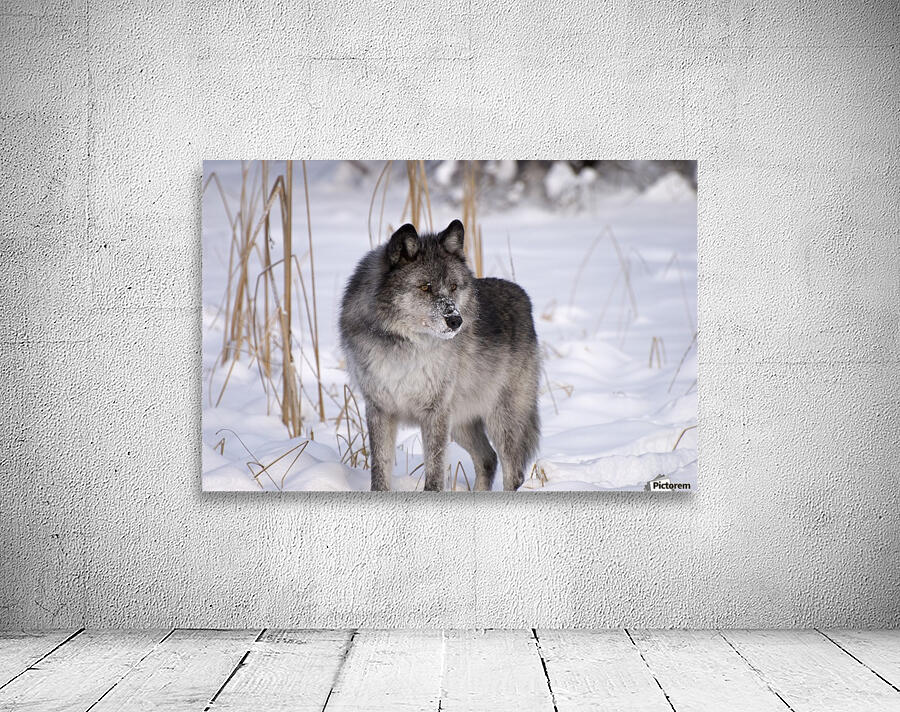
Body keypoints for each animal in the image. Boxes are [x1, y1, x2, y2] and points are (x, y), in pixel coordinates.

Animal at [339, 219, 540, 492]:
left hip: (500, 418)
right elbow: (379, 470)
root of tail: (523, 296)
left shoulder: (435, 413)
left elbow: (434, 473)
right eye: (426, 287)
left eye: (453, 287)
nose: (456, 320)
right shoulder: (379, 409)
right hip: (461, 423)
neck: (405, 348)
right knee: (488, 459)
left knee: (513, 472)